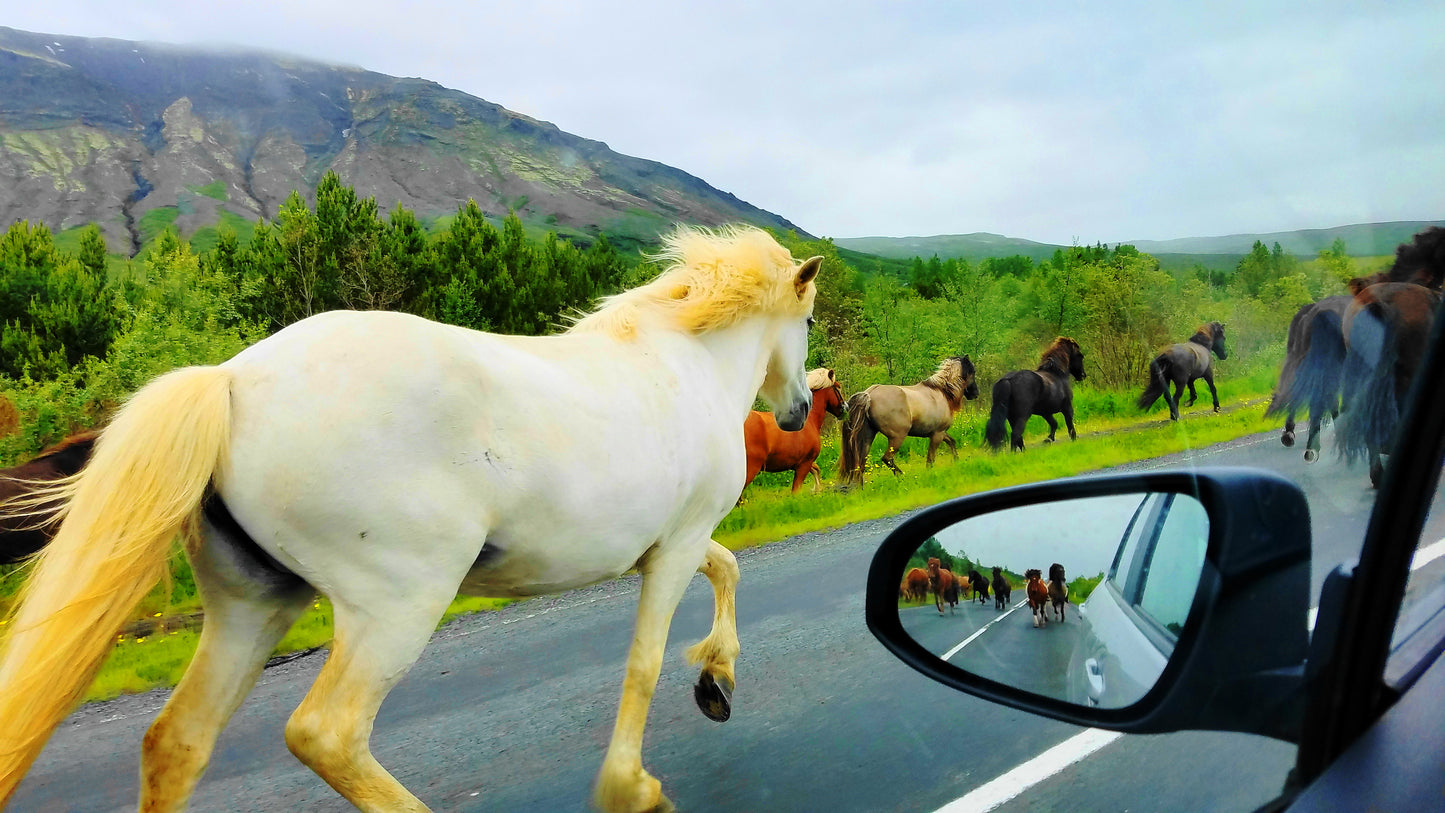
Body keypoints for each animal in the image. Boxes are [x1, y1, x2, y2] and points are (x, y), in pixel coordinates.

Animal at [838, 355, 979, 486]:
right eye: (973, 371)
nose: (976, 394)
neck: (943, 392)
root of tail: (869, 395)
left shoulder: (939, 432)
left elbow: (951, 442)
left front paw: (956, 461)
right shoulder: (937, 434)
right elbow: (930, 459)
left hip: (868, 437)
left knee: (861, 463)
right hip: (898, 437)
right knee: (887, 458)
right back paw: (902, 476)